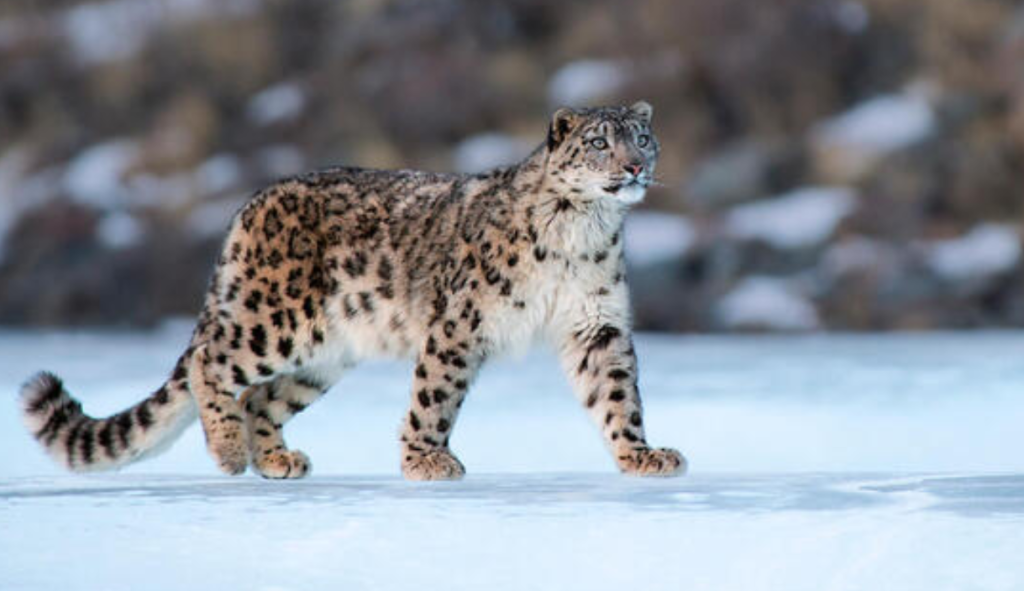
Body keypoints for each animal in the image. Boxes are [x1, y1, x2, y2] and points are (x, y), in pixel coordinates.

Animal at [19, 101, 686, 480]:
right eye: (599, 142)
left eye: (641, 138)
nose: (633, 167)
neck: (583, 230)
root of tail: (250, 206)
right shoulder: (459, 324)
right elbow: (435, 395)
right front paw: (425, 461)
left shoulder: (596, 323)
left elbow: (617, 395)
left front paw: (641, 454)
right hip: (274, 323)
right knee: (212, 360)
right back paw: (230, 451)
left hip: (323, 356)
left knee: (263, 399)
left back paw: (277, 461)